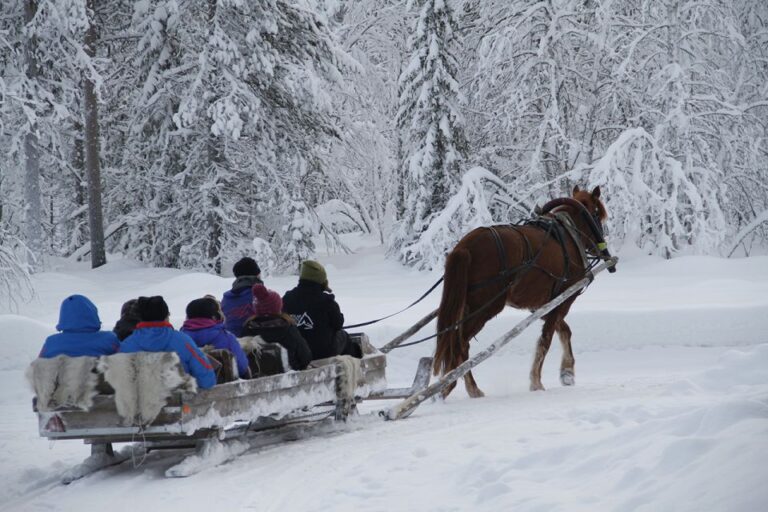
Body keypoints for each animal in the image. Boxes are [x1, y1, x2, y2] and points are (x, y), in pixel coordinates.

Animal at [436, 186, 616, 398]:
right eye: (596, 214)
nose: (601, 249)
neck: (569, 234)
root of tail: (465, 247)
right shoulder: (563, 299)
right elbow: (546, 339)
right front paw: (536, 382)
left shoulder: (543, 305)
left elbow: (564, 331)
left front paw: (567, 373)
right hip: (485, 307)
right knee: (461, 344)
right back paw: (462, 387)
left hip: (467, 306)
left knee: (454, 341)